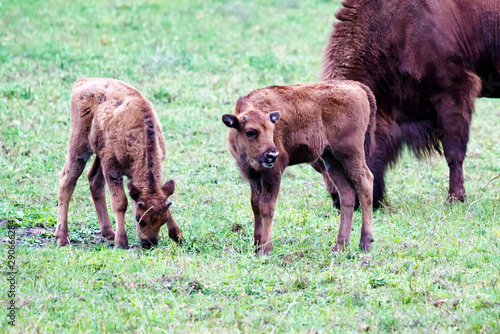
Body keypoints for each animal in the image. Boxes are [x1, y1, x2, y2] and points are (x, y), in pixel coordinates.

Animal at [55, 78, 184, 249]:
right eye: (139, 220)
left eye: (162, 221)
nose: (149, 243)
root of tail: (83, 81)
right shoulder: (112, 167)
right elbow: (120, 202)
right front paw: (121, 242)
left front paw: (178, 236)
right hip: (79, 146)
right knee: (67, 181)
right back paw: (62, 237)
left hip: (99, 154)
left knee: (94, 181)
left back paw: (109, 232)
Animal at [223, 81, 376, 256]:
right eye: (250, 132)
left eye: (272, 130)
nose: (272, 155)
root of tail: (356, 86)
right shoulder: (253, 175)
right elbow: (255, 205)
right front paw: (256, 246)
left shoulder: (273, 172)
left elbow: (266, 206)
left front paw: (265, 249)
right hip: (331, 160)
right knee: (347, 193)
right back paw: (339, 246)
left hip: (350, 154)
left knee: (365, 183)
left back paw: (365, 243)